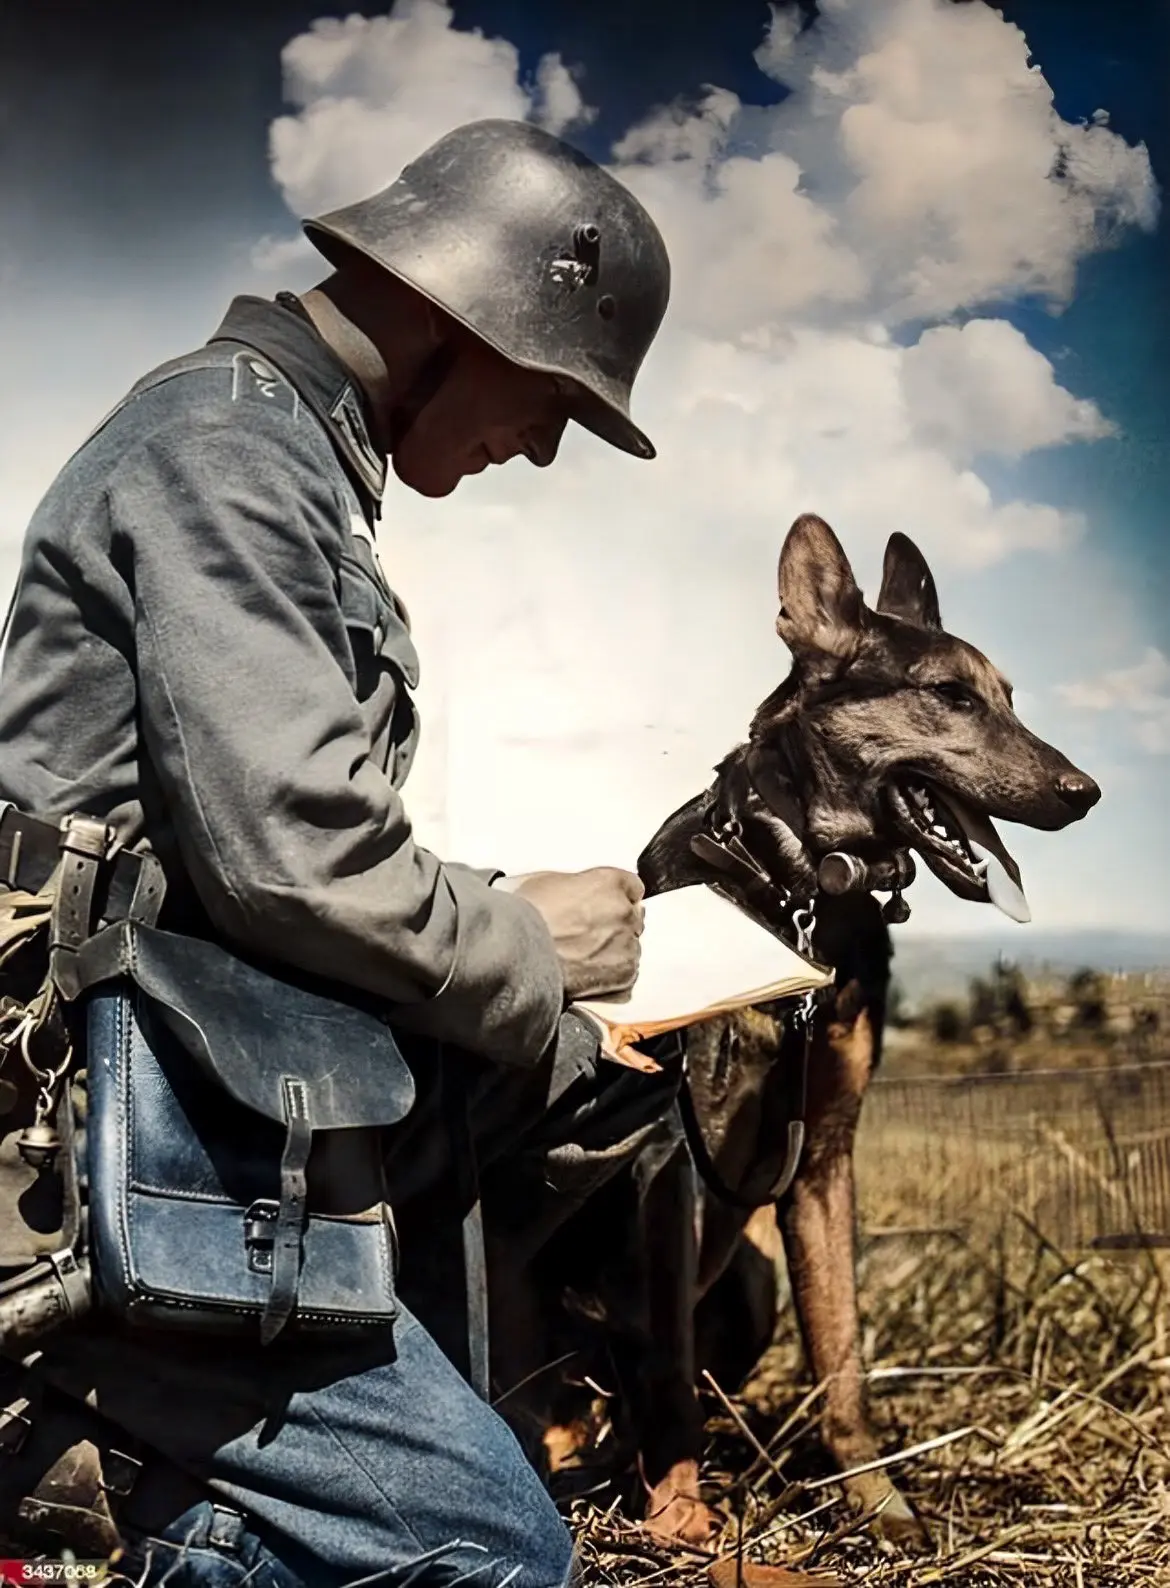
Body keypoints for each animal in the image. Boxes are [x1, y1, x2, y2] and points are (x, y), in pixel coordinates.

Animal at [482, 517, 1092, 1549]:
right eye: (950, 696)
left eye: (1009, 698)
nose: (1083, 791)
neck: (798, 887)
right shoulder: (670, 1161)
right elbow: (668, 1367)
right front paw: (680, 1512)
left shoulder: (827, 1159)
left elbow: (841, 1350)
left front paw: (875, 1500)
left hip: (754, 1278)